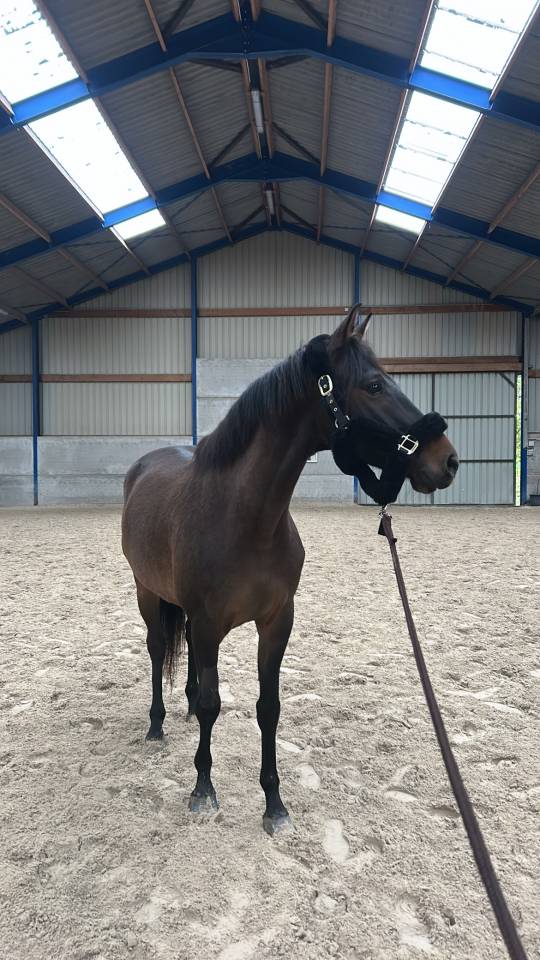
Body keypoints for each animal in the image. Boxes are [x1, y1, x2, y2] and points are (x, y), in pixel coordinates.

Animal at [121, 306, 458, 835]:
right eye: (374, 385)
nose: (447, 459)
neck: (246, 518)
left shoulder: (277, 620)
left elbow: (268, 707)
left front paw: (274, 803)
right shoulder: (211, 622)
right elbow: (214, 705)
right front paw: (203, 789)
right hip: (147, 593)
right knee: (158, 650)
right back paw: (157, 724)